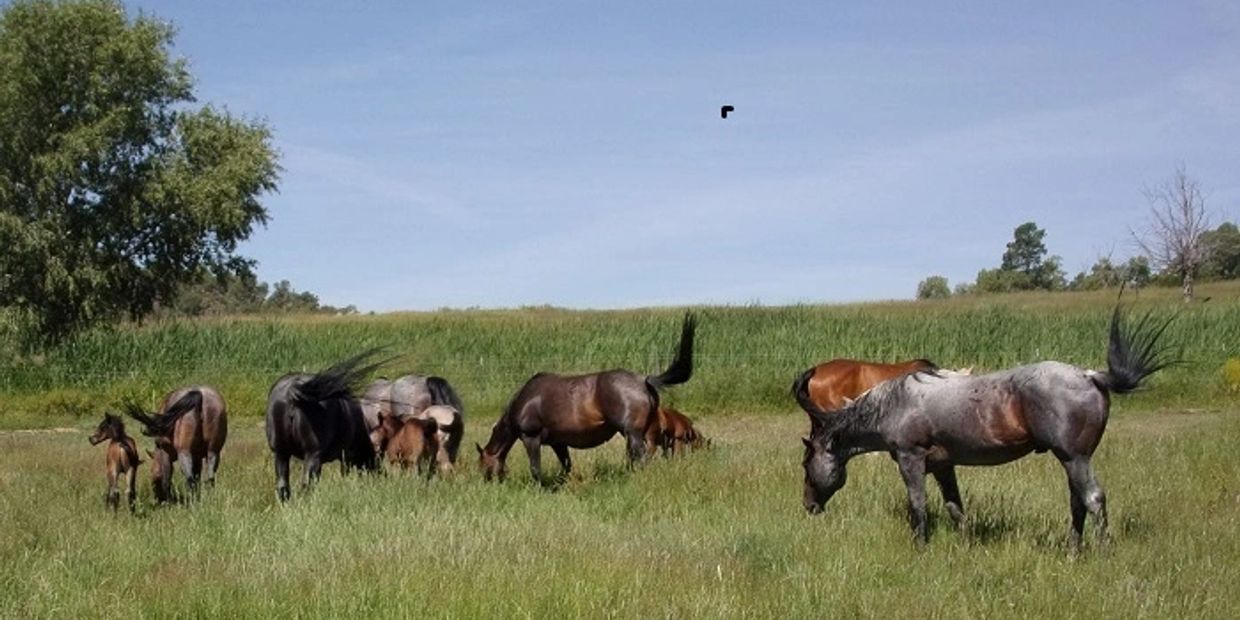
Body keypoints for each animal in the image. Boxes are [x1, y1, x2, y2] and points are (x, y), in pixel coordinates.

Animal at [265, 350, 391, 501]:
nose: (383, 476)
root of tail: (292, 392)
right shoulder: (346, 456)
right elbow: (345, 473)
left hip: (281, 454)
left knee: (283, 487)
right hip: (312, 455)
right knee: (307, 485)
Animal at [478, 312, 696, 482]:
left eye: (482, 466)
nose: (487, 484)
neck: (524, 402)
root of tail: (644, 380)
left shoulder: (531, 438)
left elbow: (536, 469)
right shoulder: (558, 442)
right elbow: (567, 466)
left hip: (633, 433)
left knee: (641, 458)